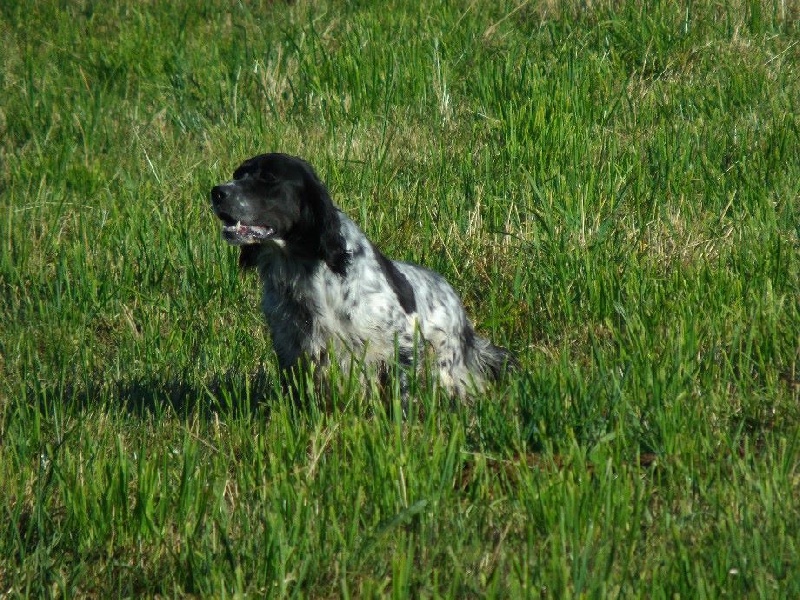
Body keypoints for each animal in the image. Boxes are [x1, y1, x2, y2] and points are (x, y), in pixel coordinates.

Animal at [209, 153, 514, 401]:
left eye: (268, 178)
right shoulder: (290, 347)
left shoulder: (401, 342)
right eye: (238, 174)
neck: (305, 271)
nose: (216, 192)